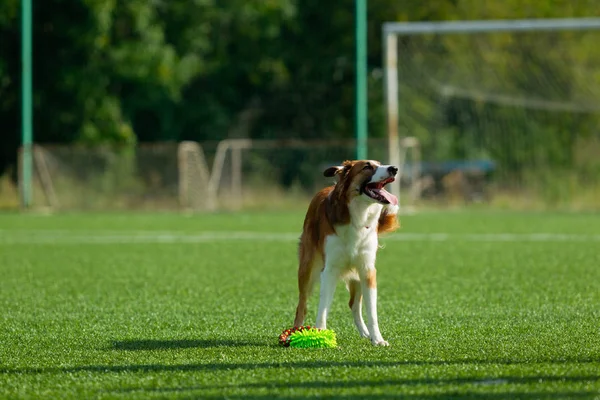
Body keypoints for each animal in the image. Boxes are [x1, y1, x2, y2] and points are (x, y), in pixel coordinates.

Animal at [294, 158, 398, 346]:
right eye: (367, 167)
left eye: (380, 163)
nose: (394, 168)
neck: (358, 215)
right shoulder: (329, 270)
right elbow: (323, 306)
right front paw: (321, 334)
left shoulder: (367, 270)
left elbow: (372, 312)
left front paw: (377, 339)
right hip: (307, 268)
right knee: (302, 304)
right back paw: (295, 331)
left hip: (356, 275)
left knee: (354, 305)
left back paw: (365, 333)